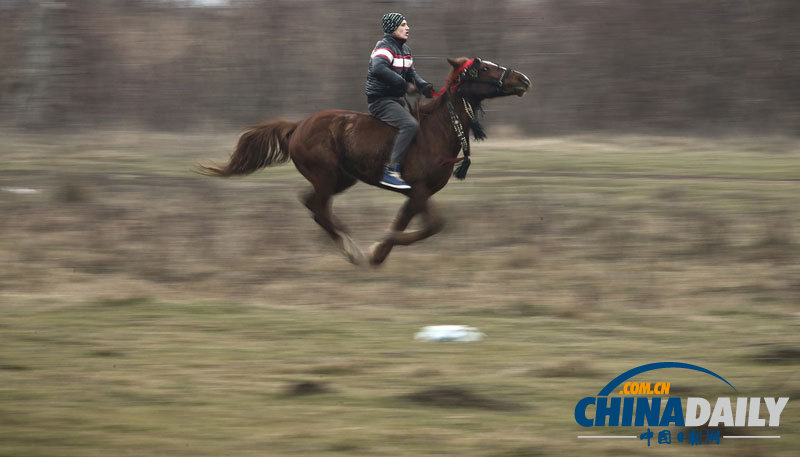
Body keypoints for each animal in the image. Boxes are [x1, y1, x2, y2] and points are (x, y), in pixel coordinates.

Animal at [203, 57, 532, 266]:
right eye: (485, 67)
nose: (523, 79)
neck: (436, 130)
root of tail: (298, 126)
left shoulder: (415, 194)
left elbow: (406, 223)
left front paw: (378, 252)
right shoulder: (420, 189)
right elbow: (433, 225)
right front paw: (376, 247)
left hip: (342, 178)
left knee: (312, 205)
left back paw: (352, 247)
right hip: (326, 176)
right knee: (320, 208)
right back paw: (352, 249)